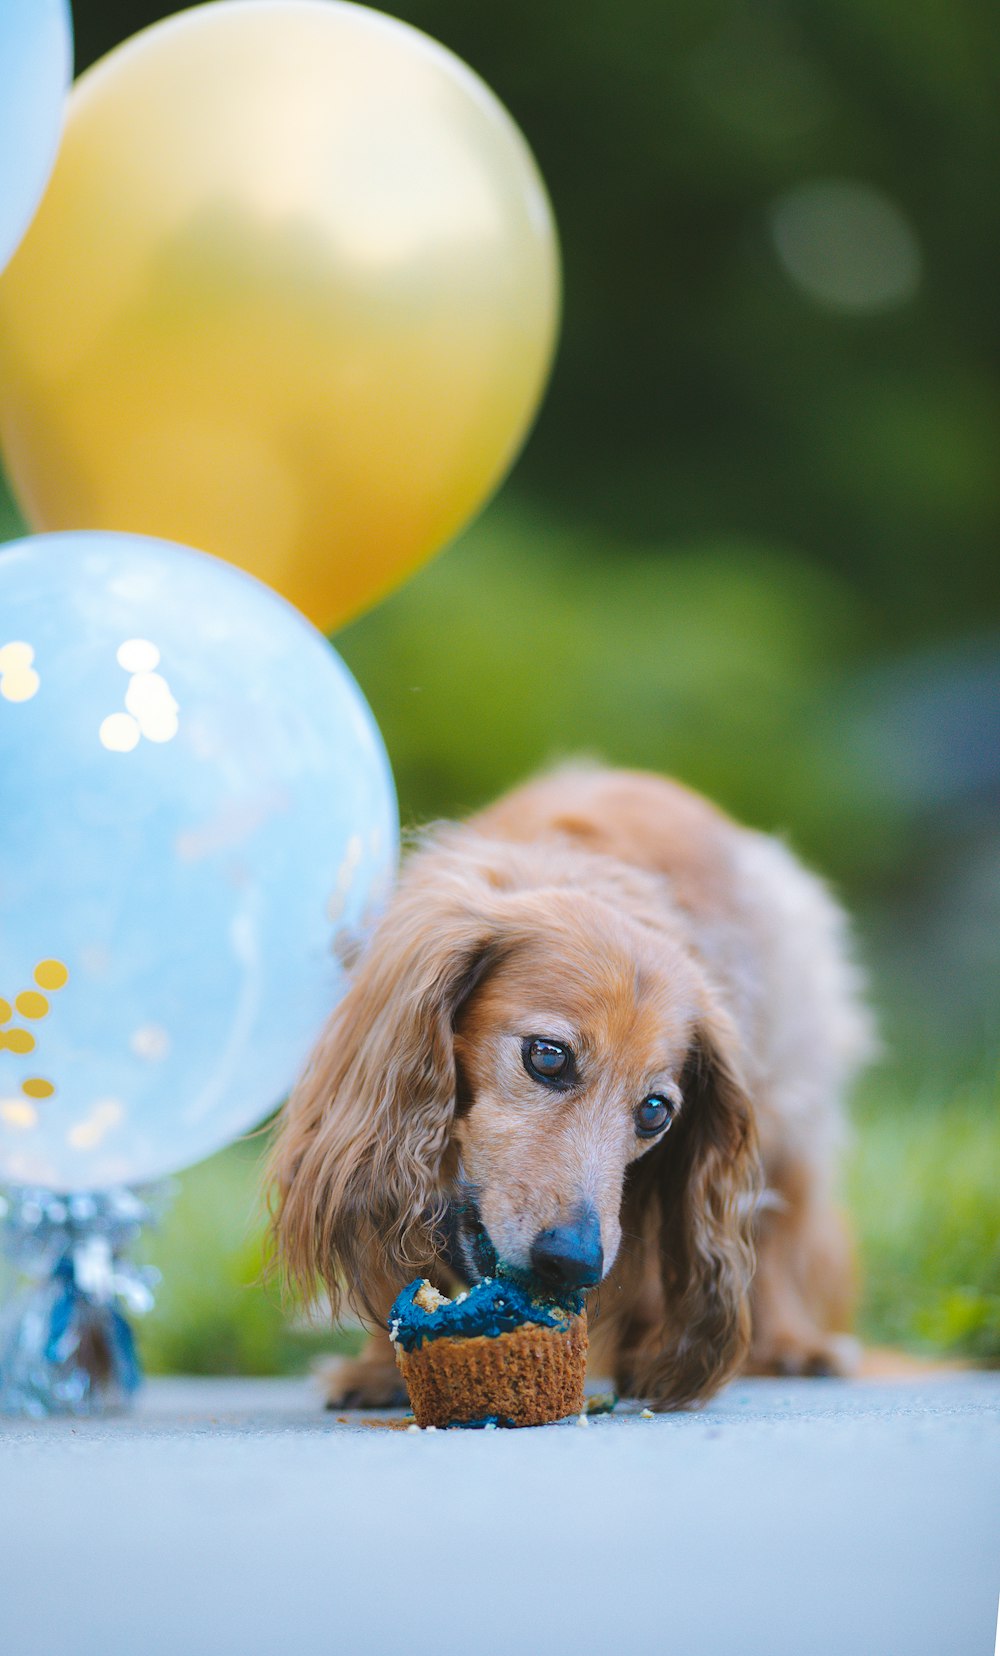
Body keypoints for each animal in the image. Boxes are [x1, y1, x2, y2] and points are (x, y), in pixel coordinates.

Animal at [269, 768, 874, 1404]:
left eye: (655, 1111)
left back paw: (788, 1343)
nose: (574, 1262)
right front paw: (379, 1370)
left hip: (793, 1105)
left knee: (778, 1232)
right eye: (548, 1057)